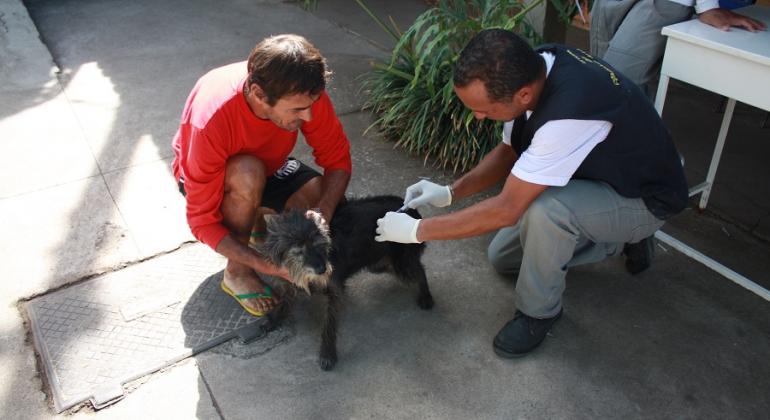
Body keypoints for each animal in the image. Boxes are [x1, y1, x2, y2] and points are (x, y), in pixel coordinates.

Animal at [260, 195, 432, 370]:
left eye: (318, 244)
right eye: (298, 250)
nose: (323, 270)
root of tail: (409, 208)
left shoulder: (335, 291)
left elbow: (329, 324)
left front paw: (327, 353)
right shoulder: (290, 283)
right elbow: (284, 301)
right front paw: (272, 320)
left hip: (402, 265)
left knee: (419, 271)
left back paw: (426, 297)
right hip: (378, 264)